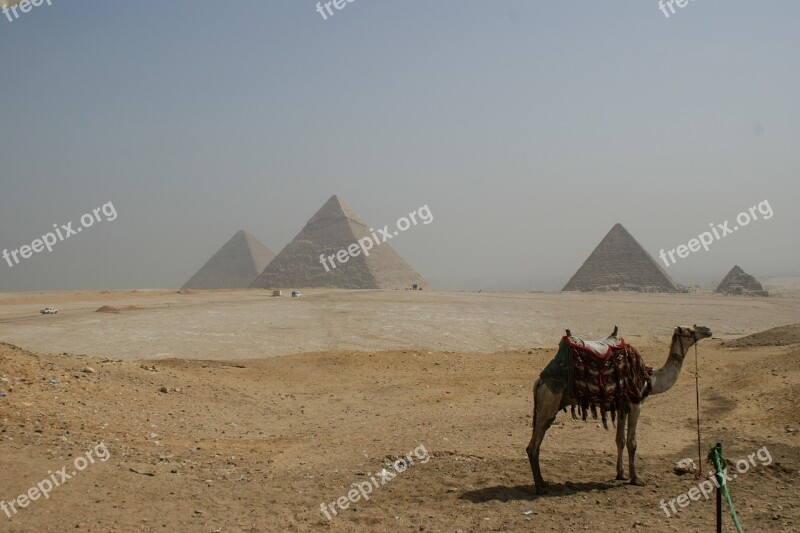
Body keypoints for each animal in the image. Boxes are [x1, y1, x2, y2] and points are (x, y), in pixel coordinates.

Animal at [524, 324, 712, 494]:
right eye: (690, 331)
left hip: (543, 407)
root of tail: (539, 381)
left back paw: (543, 483)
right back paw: (540, 488)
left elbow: (619, 440)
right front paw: (636, 479)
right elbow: (632, 443)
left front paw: (620, 474)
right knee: (533, 446)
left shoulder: (622, 407)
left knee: (536, 443)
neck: (650, 379)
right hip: (550, 402)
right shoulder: (636, 405)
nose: (708, 330)